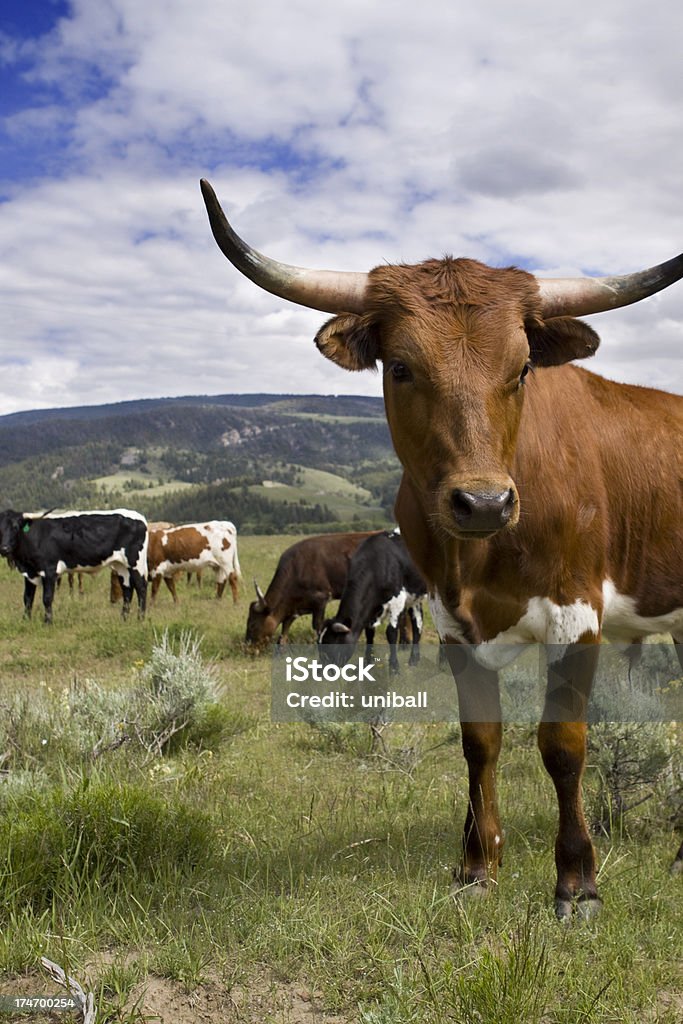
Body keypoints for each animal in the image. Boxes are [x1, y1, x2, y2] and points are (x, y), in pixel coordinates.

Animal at [0, 509, 148, 622]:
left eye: (15, 527)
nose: (4, 548)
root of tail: (140, 517)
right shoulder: (29, 573)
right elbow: (27, 598)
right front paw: (26, 621)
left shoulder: (49, 571)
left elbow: (47, 598)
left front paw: (48, 622)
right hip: (120, 565)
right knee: (127, 590)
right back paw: (123, 619)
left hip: (136, 564)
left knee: (141, 588)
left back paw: (140, 619)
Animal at [245, 532, 376, 643]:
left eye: (252, 624)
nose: (247, 646)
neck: (296, 568)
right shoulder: (293, 609)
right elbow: (284, 632)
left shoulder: (321, 600)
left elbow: (317, 626)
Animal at [317, 528, 423, 671]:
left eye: (331, 644)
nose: (319, 671)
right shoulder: (370, 607)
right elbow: (369, 633)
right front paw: (368, 663)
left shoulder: (397, 600)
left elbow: (391, 633)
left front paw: (394, 668)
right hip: (415, 596)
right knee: (418, 623)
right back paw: (414, 660)